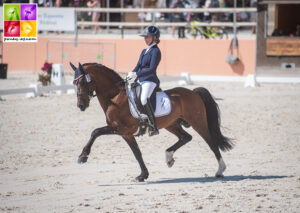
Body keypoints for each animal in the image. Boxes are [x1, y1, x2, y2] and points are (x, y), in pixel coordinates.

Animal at [70, 62, 234, 182]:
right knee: (186, 137)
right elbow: (137, 153)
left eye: (83, 81)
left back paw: (220, 170)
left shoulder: (120, 128)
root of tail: (193, 92)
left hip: (197, 122)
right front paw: (143, 175)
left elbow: (95, 132)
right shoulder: (126, 134)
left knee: (211, 142)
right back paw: (169, 157)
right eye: (74, 83)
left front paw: (82, 156)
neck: (114, 97)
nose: (81, 105)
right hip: (172, 124)